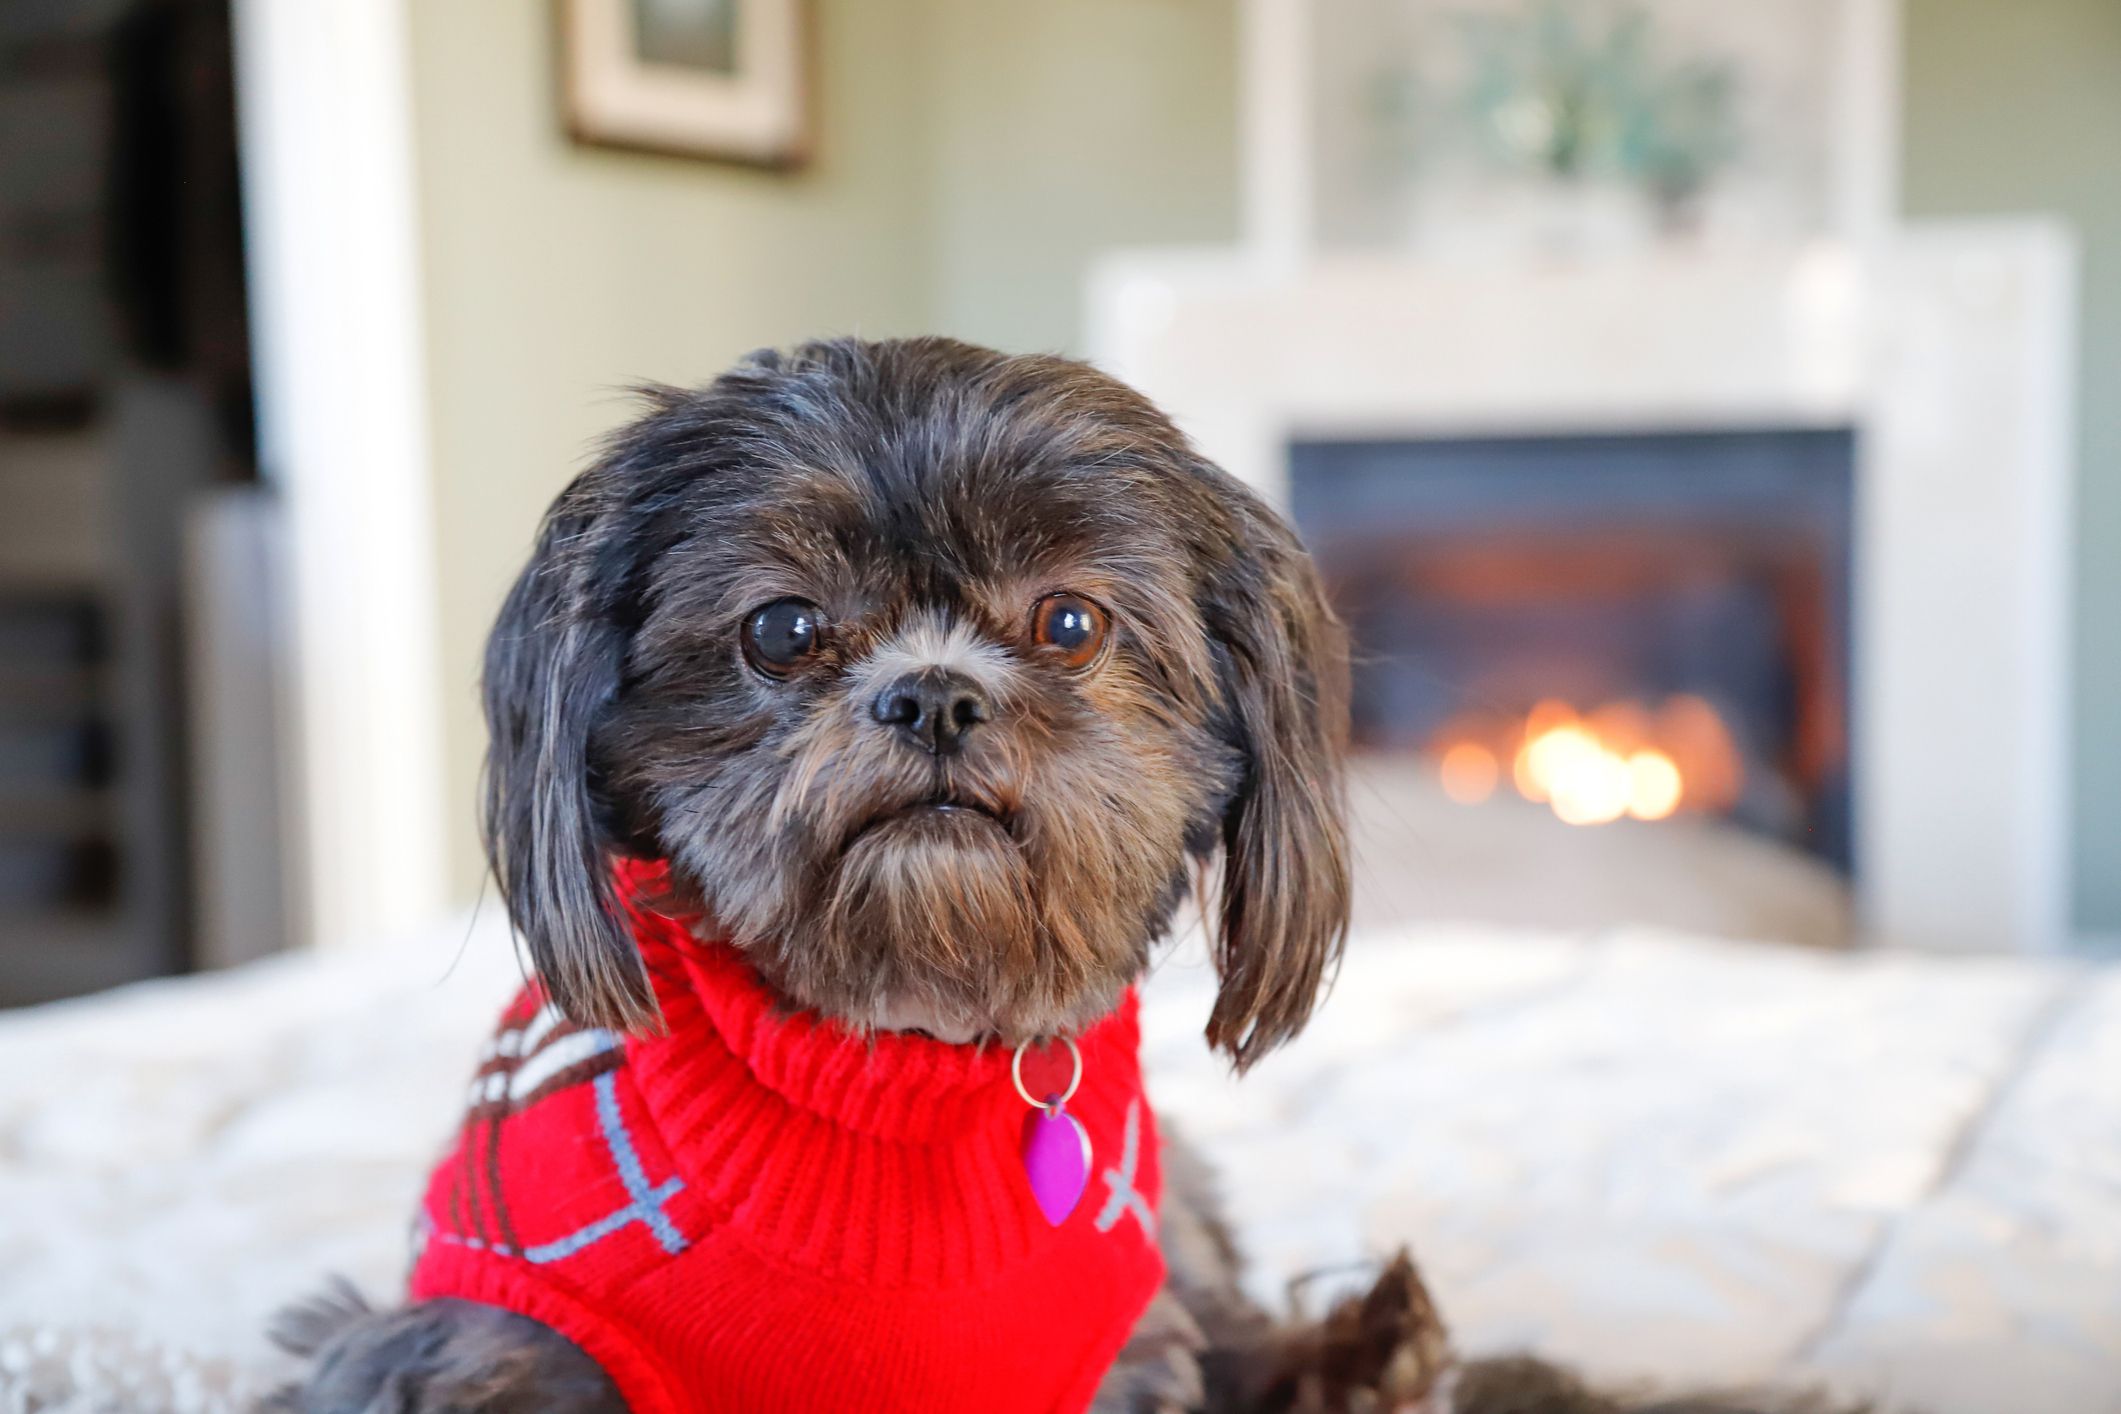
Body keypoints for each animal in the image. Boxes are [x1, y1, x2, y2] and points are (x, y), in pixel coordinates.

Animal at [265, 337, 1874, 1407]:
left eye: (1071, 623)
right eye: (783, 630)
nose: (931, 695)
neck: (893, 1071)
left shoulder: (1118, 1349)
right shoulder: (457, 1345)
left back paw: (1373, 1354)